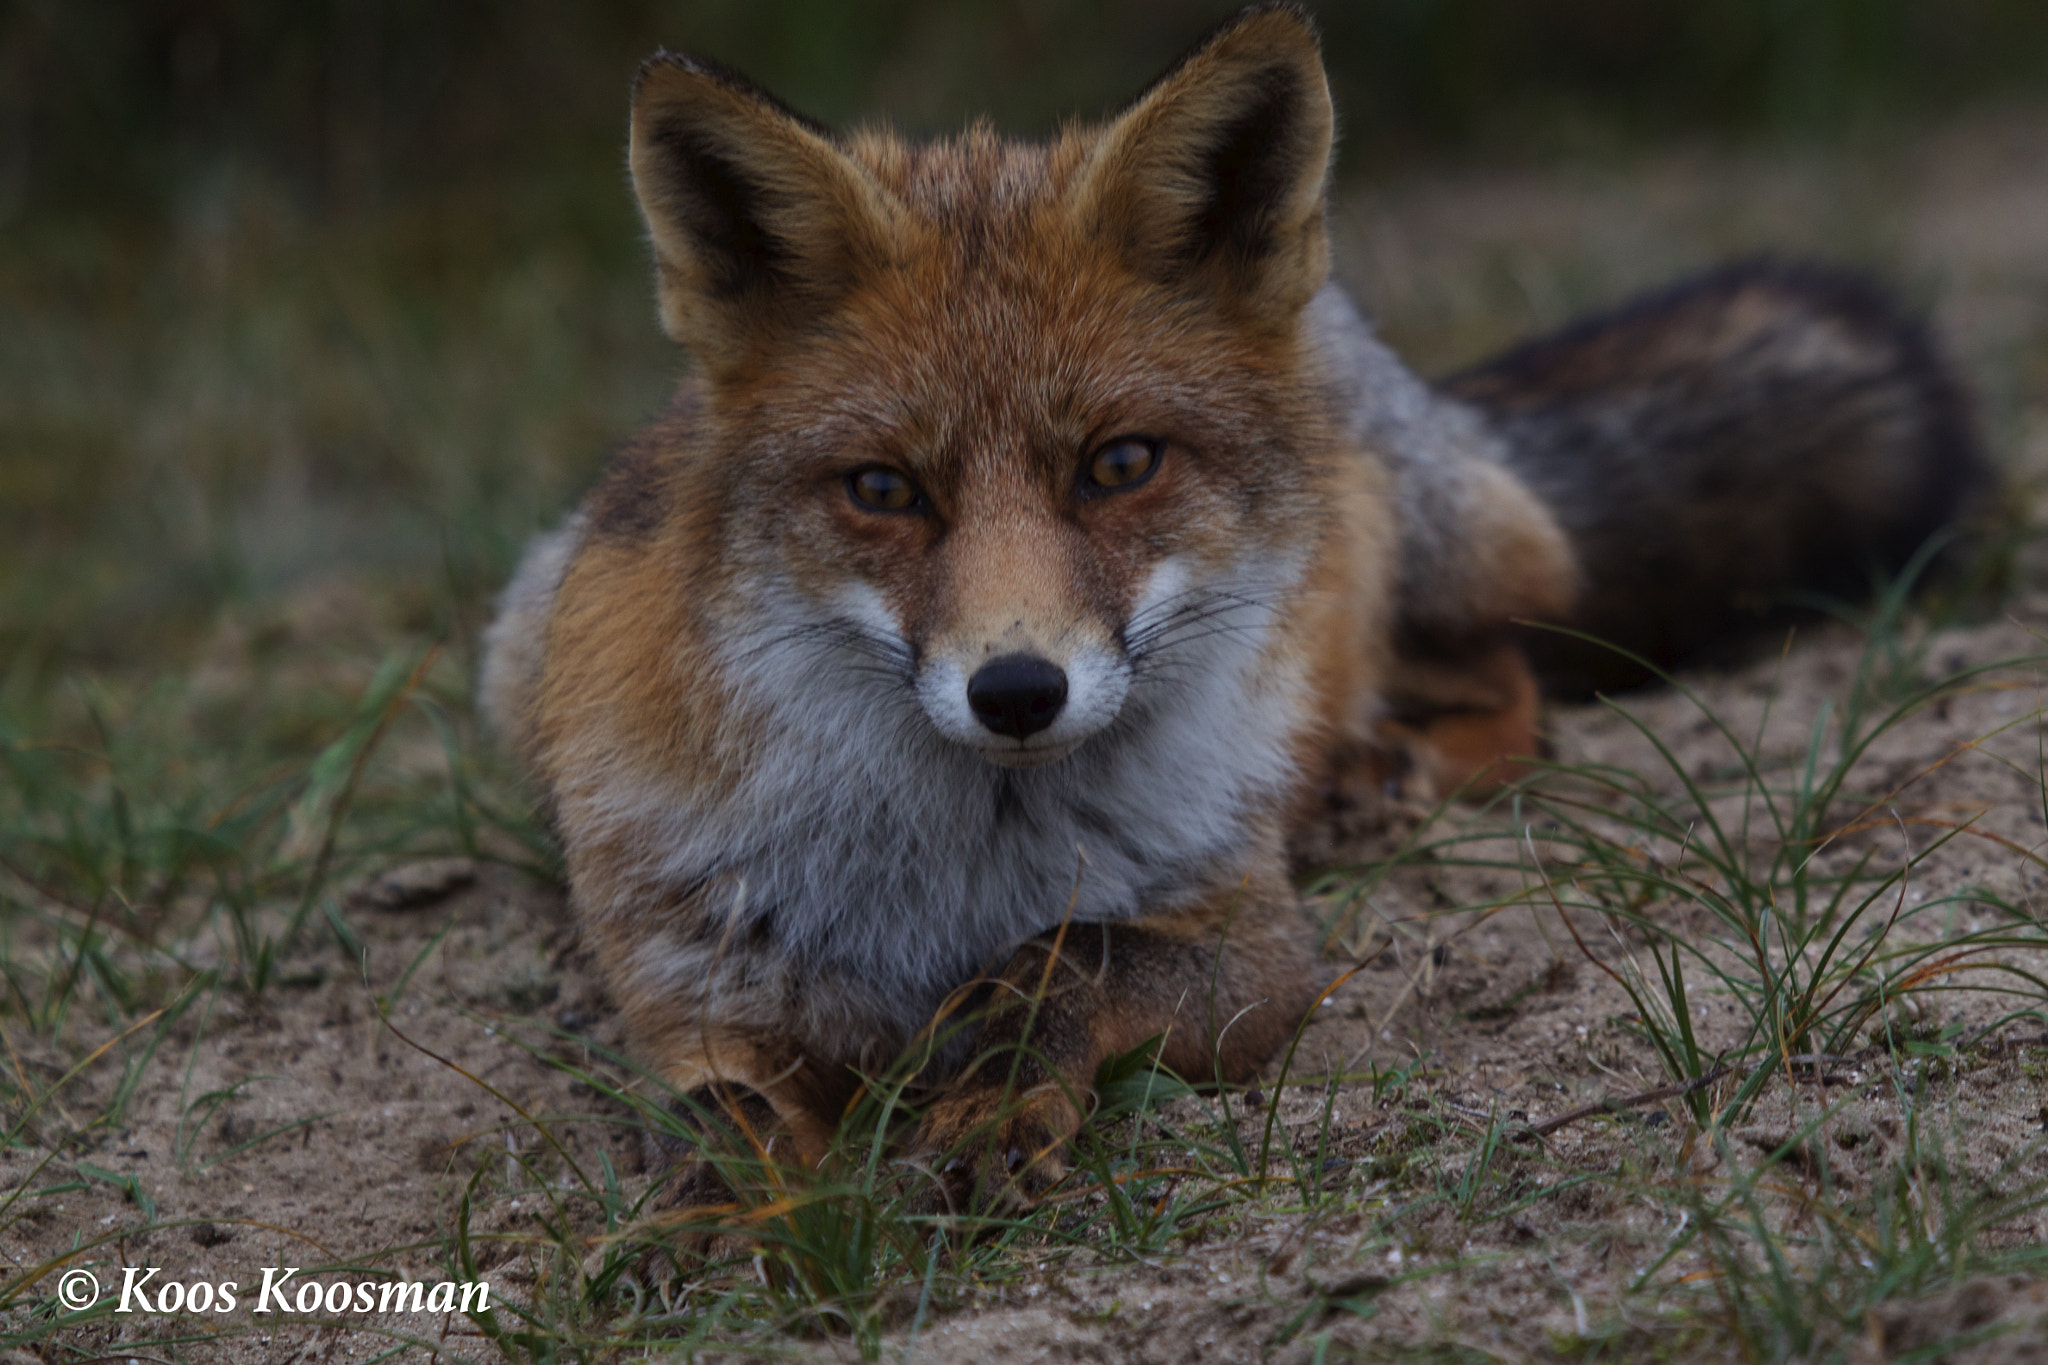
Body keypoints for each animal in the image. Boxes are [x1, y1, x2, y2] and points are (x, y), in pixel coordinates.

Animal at [479, 3, 1987, 1201]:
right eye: (883, 489)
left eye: (1119, 464)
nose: (1015, 692)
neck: (957, 876)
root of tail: (1368, 336)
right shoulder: (697, 985)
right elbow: (709, 1122)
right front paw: (712, 1223)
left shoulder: (1254, 946)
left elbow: (1075, 957)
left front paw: (987, 1093)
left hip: (1422, 561)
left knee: (1511, 682)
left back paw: (1383, 778)